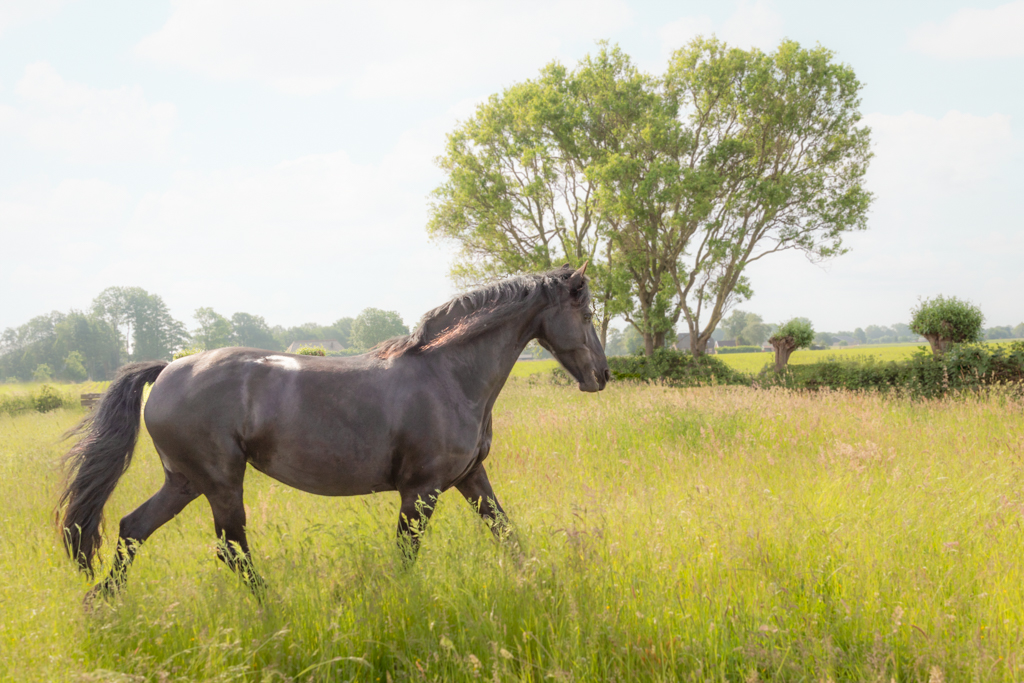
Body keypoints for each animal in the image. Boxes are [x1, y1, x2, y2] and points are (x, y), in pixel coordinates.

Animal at [58, 263, 609, 600]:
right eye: (585, 312)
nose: (601, 375)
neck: (448, 375)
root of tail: (169, 369)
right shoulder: (421, 490)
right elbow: (407, 553)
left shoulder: (470, 478)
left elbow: (507, 533)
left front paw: (540, 582)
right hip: (220, 483)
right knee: (231, 548)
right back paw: (273, 605)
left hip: (186, 481)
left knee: (133, 529)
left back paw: (100, 602)